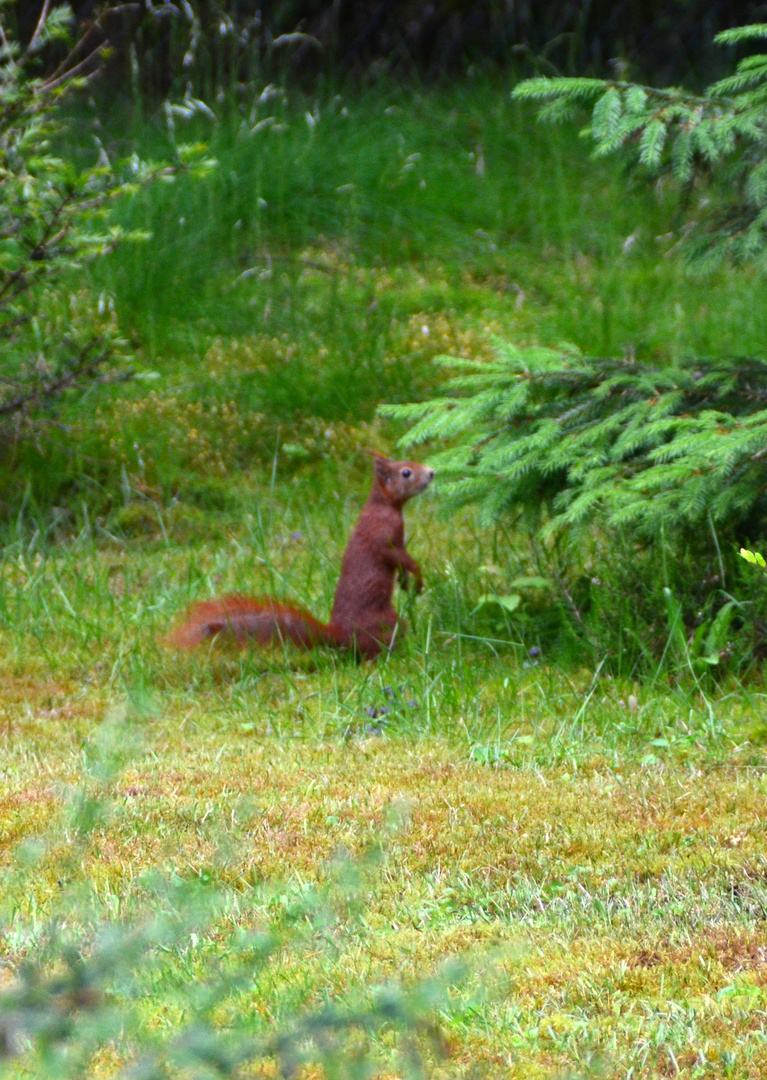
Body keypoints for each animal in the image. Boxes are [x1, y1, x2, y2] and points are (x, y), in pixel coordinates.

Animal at [170, 453, 436, 656]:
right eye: (406, 473)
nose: (432, 472)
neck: (383, 505)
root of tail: (338, 635)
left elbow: (401, 563)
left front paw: (405, 580)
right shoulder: (385, 536)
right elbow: (400, 557)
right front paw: (418, 577)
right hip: (385, 623)